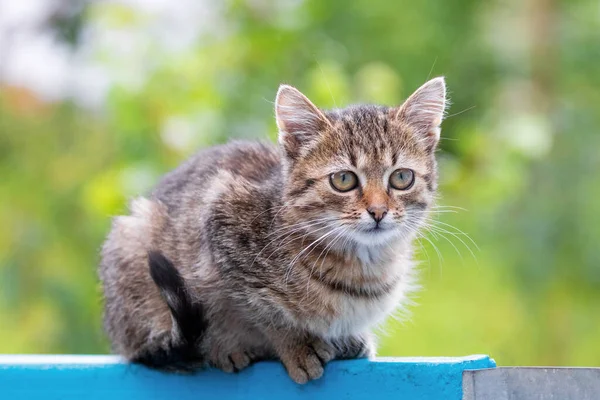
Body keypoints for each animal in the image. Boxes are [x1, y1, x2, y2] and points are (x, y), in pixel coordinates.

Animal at [98, 76, 446, 384]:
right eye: (343, 180)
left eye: (401, 177)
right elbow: (263, 309)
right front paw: (296, 345)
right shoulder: (221, 219)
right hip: (132, 242)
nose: (378, 212)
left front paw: (347, 338)